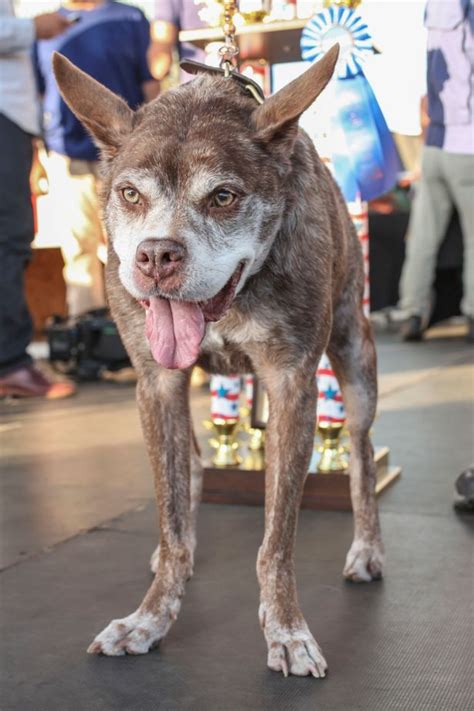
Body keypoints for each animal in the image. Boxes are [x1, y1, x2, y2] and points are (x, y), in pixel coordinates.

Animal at [53, 43, 384, 680]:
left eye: (224, 196)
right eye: (130, 194)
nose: (157, 255)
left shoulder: (292, 384)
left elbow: (277, 539)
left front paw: (287, 631)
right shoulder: (157, 384)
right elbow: (173, 516)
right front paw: (151, 616)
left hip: (356, 364)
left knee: (359, 453)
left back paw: (367, 548)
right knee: (193, 471)